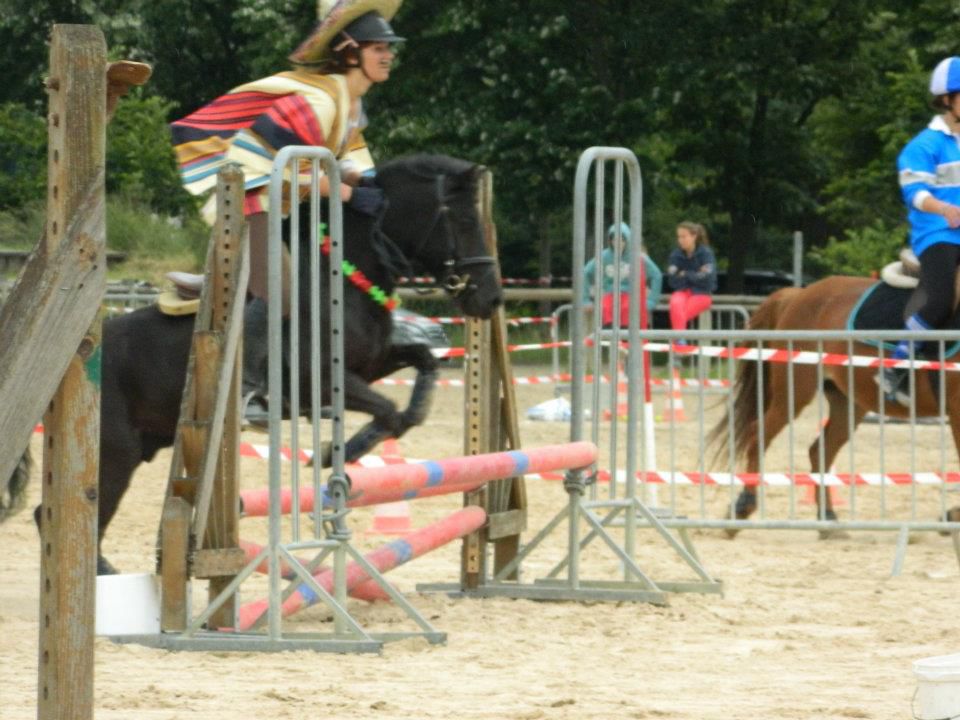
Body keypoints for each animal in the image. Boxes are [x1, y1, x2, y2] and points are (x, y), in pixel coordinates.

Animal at [56, 154, 503, 574]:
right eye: (465, 220)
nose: (491, 299)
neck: (343, 276)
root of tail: (75, 359)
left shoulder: (370, 364)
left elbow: (420, 374)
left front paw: (348, 451)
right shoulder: (318, 381)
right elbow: (389, 411)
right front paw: (336, 454)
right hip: (116, 452)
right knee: (77, 515)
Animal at [707, 276, 960, 534]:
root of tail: (797, 295)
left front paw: (951, 514)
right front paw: (952, 515)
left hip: (847, 402)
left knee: (821, 450)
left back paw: (827, 517)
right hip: (793, 393)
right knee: (758, 435)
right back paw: (743, 506)